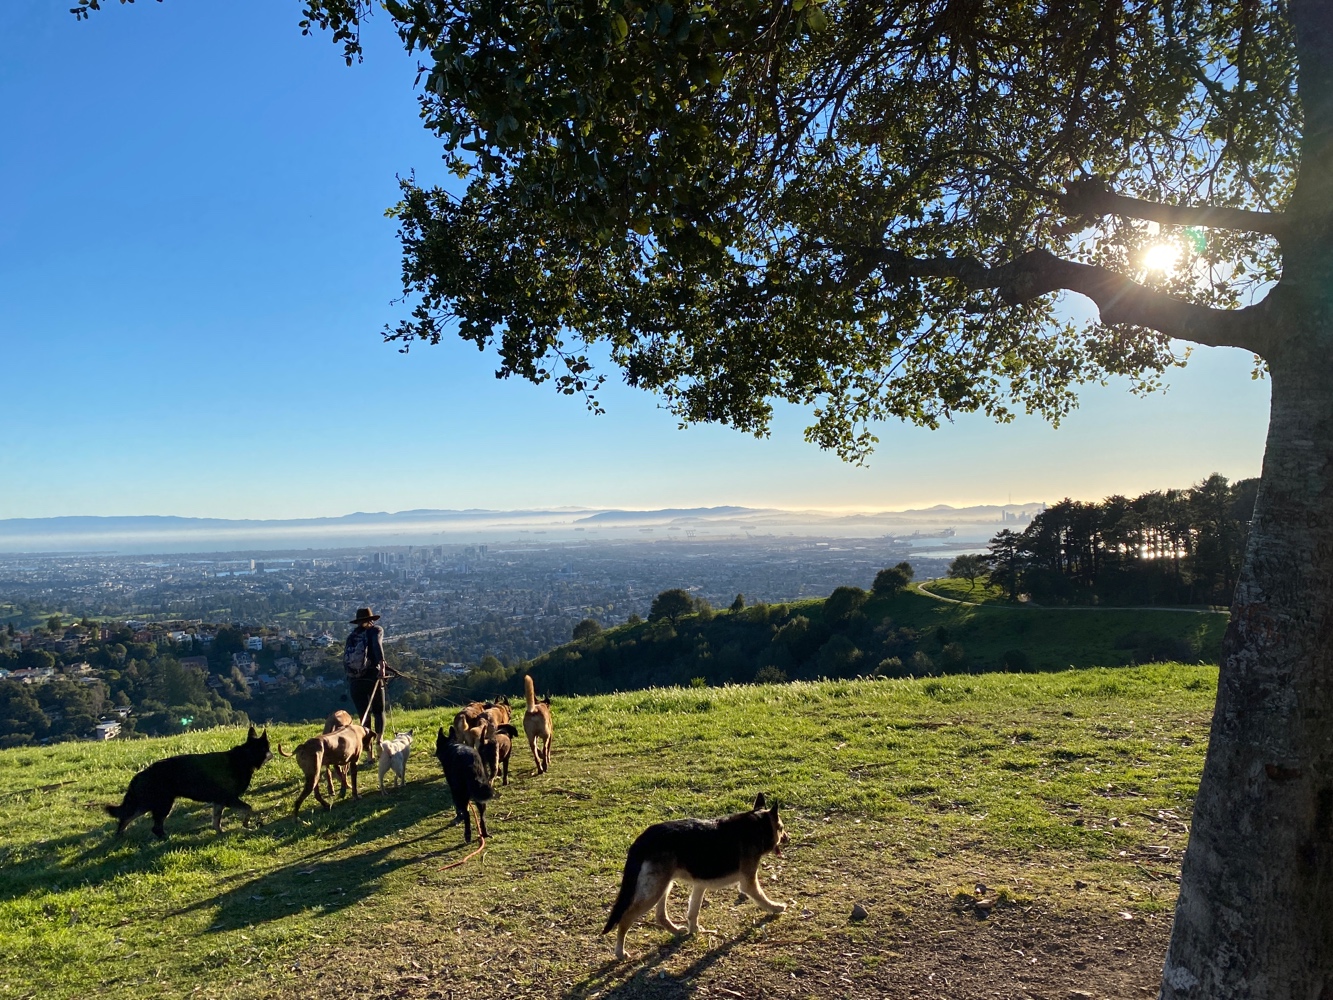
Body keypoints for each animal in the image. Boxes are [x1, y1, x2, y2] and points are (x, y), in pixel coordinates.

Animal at [105, 726, 271, 839]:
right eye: (268, 747)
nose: (273, 754)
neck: (246, 756)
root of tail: (140, 774)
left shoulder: (219, 801)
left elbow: (216, 820)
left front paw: (220, 832)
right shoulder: (230, 799)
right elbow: (248, 808)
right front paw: (246, 824)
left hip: (148, 804)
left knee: (126, 818)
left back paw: (120, 836)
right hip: (160, 804)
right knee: (152, 826)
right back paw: (165, 838)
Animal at [602, 793, 789, 959]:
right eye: (781, 828)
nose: (788, 838)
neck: (757, 825)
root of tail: (642, 840)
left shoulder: (700, 885)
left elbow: (693, 911)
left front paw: (694, 931)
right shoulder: (748, 884)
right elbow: (763, 899)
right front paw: (776, 907)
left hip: (664, 885)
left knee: (660, 916)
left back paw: (676, 931)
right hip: (654, 891)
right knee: (625, 918)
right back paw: (620, 953)